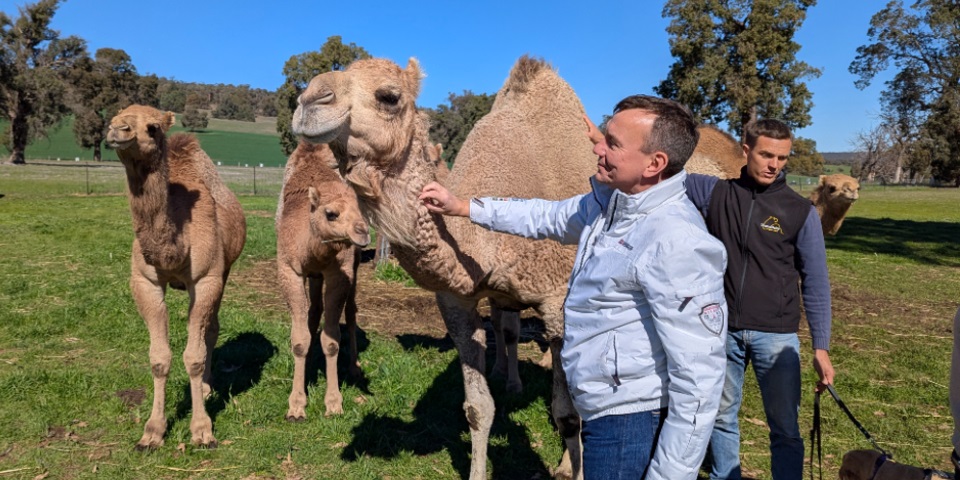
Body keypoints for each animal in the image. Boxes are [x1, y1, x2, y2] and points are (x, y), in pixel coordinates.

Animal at [106, 104, 246, 450]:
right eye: (112, 117)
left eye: (153, 127)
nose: (118, 130)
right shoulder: (145, 282)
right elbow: (159, 358)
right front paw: (152, 432)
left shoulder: (207, 278)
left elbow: (194, 355)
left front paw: (202, 430)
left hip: (225, 271)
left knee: (211, 329)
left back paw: (207, 388)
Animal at [276, 142, 370, 420]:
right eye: (331, 214)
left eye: (362, 211)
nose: (362, 232)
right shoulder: (289, 270)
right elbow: (300, 340)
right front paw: (296, 405)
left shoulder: (340, 273)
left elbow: (330, 341)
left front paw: (334, 403)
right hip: (314, 275)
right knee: (314, 310)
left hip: (353, 266)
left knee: (350, 310)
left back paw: (354, 366)